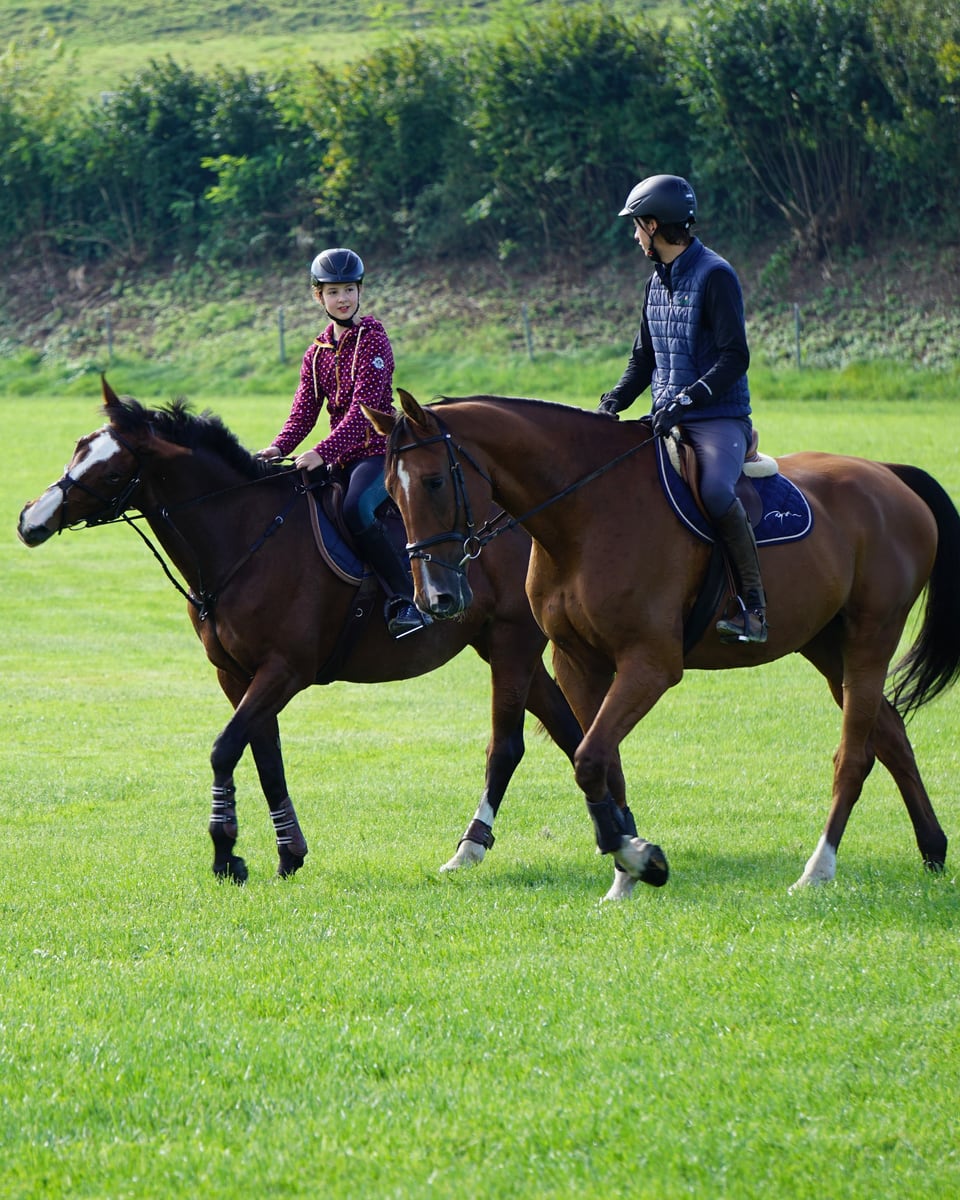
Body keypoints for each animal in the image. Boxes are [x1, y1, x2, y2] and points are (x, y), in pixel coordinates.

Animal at [16, 379, 585, 888]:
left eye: (112, 471)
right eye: (78, 448)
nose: (29, 521)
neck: (246, 533)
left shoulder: (283, 671)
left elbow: (225, 749)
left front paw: (226, 854)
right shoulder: (236, 675)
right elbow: (266, 758)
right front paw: (288, 852)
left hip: (511, 642)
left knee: (506, 746)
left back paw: (471, 847)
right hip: (499, 645)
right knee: (568, 728)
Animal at [369, 391, 960, 902]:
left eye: (434, 481)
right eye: (390, 494)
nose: (437, 597)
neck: (585, 516)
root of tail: (888, 473)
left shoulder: (650, 664)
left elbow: (589, 758)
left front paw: (637, 859)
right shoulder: (576, 663)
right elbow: (603, 762)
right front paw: (627, 870)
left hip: (870, 638)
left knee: (855, 755)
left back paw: (819, 869)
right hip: (825, 644)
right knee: (891, 731)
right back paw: (932, 850)